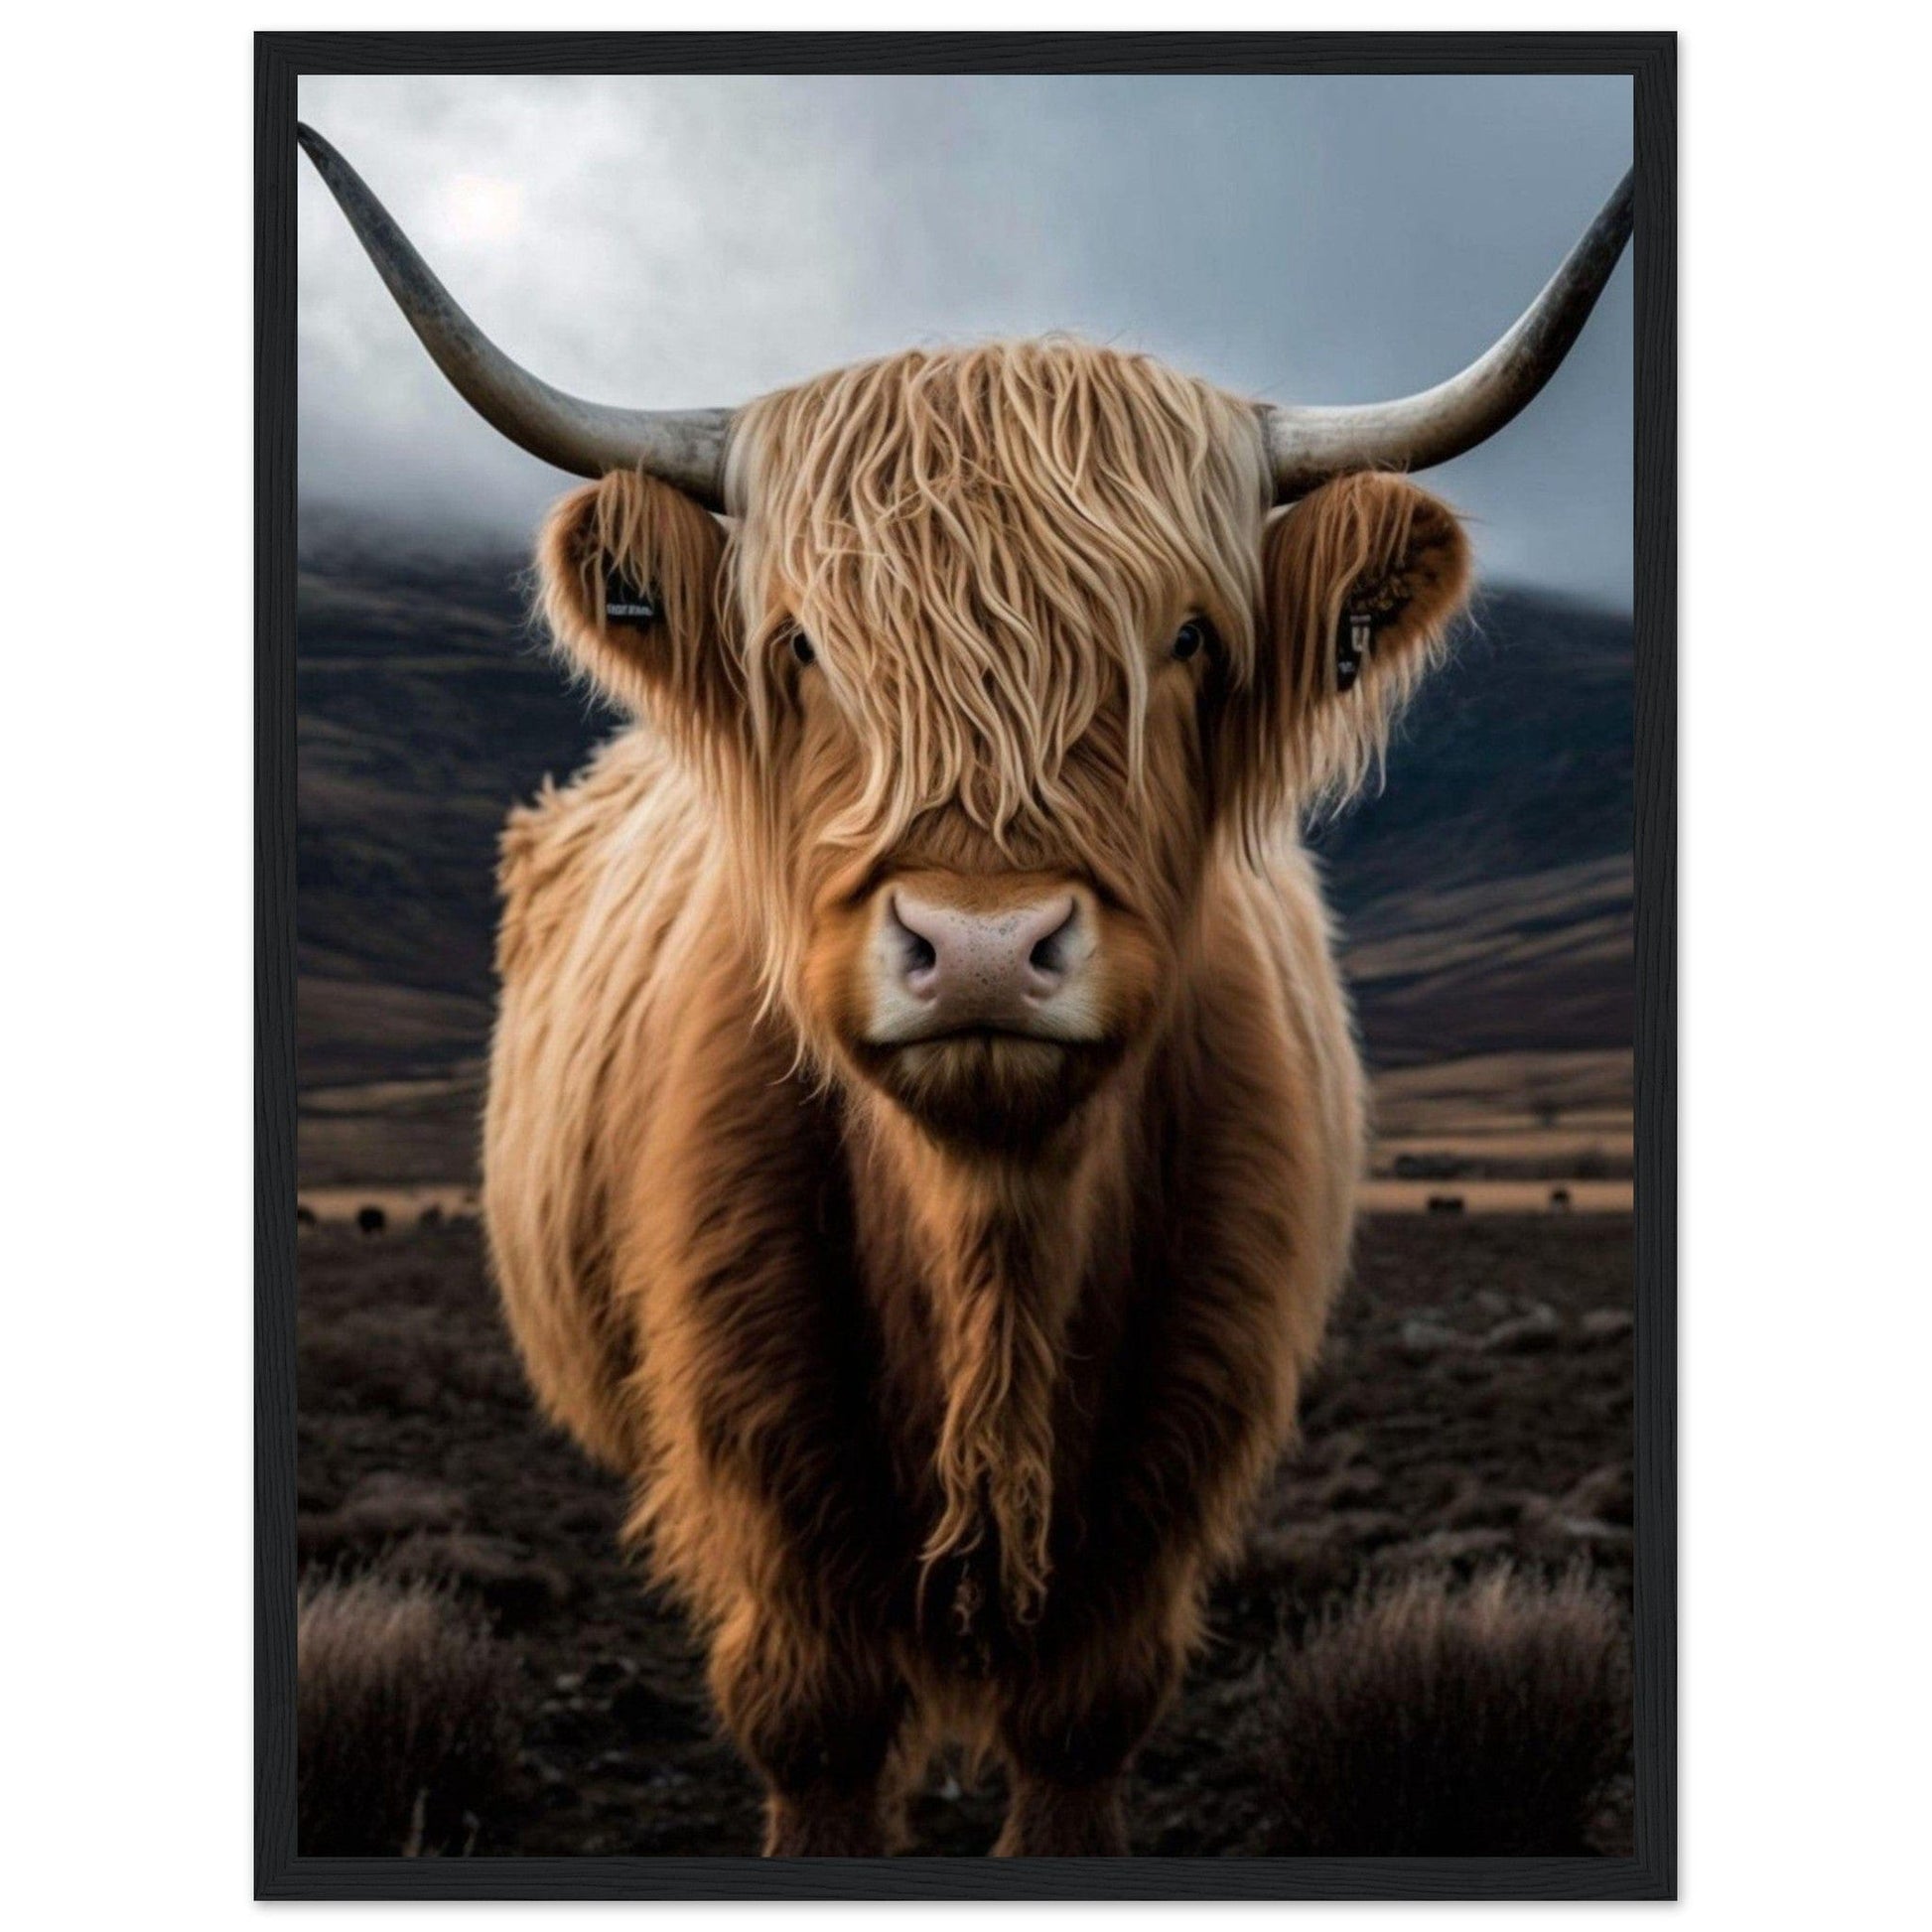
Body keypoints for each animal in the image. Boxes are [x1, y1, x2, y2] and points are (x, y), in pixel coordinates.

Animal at [301, 125, 1631, 1857]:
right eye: (801, 643)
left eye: (1186, 637)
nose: (984, 945)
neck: (986, 1245)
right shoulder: (762, 1500)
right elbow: (815, 1732)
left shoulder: (1160, 1499)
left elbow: (1078, 1728)